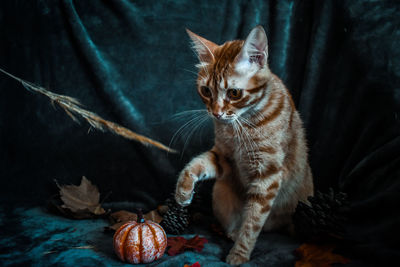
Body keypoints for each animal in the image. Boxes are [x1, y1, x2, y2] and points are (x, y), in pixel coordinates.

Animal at [175, 25, 312, 266]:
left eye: (234, 93)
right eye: (206, 91)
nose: (216, 113)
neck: (242, 125)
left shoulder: (268, 177)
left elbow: (253, 222)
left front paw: (239, 253)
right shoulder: (224, 157)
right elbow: (196, 164)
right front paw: (183, 191)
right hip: (220, 194)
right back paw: (231, 232)